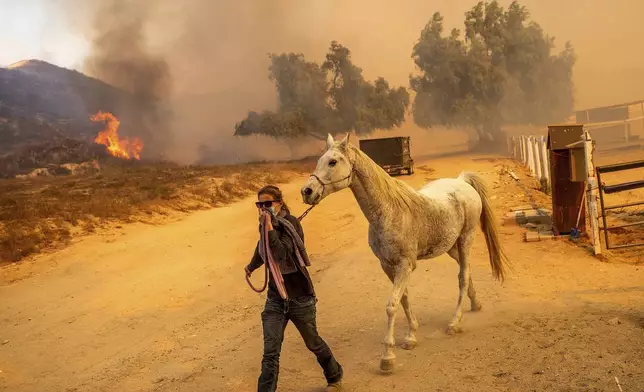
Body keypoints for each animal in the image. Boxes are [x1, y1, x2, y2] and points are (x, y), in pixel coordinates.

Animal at [300, 133, 508, 372]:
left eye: (333, 162)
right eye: (320, 160)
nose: (307, 192)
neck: (389, 211)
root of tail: (462, 181)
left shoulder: (404, 266)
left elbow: (392, 305)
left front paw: (388, 357)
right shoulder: (388, 266)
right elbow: (404, 298)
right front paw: (411, 337)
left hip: (466, 239)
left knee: (463, 277)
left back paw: (454, 323)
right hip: (451, 247)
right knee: (467, 271)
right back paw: (475, 304)